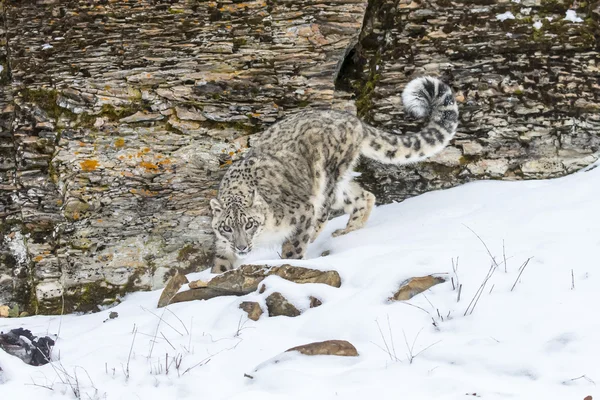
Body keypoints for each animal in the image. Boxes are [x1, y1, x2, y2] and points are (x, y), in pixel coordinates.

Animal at [210, 76, 460, 272]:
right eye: (227, 227)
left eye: (249, 224)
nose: (242, 247)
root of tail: (353, 120)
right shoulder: (222, 244)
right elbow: (220, 263)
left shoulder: (301, 213)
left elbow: (295, 246)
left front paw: (289, 260)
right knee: (364, 196)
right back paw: (348, 230)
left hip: (327, 174)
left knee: (325, 209)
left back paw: (323, 232)